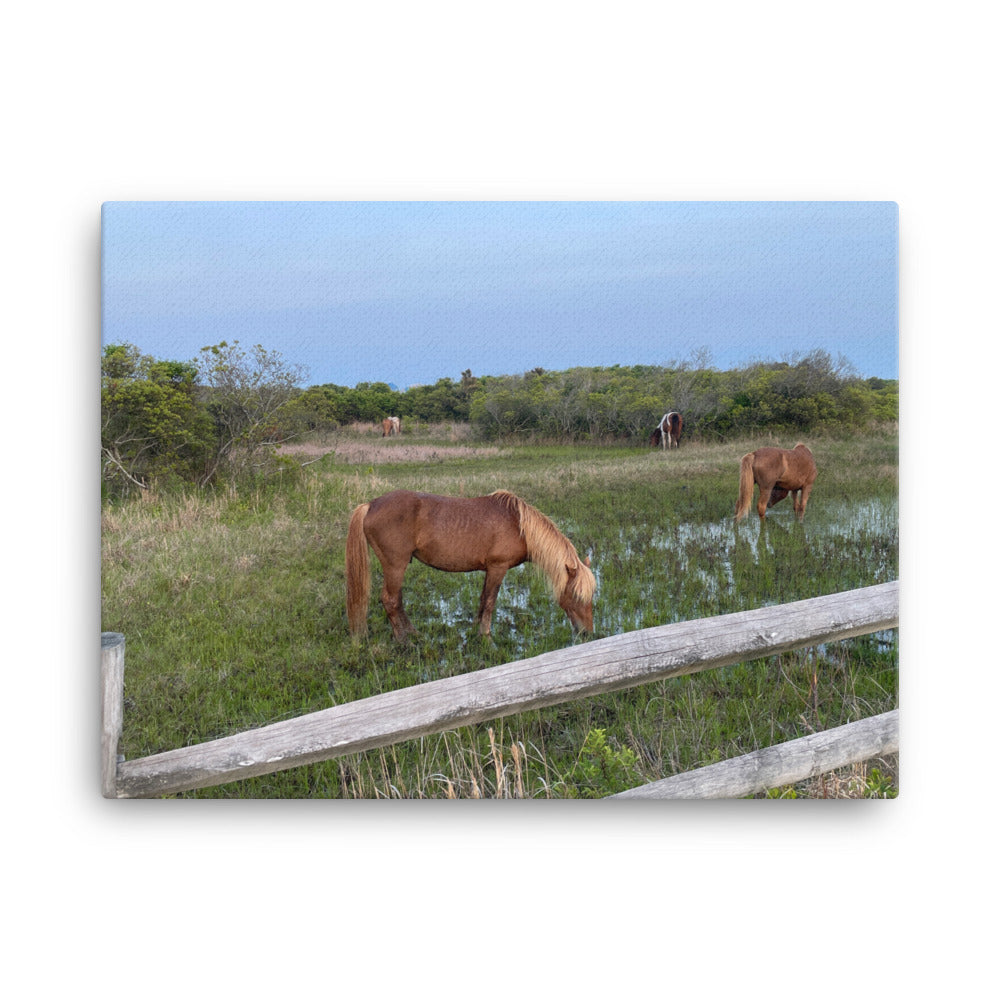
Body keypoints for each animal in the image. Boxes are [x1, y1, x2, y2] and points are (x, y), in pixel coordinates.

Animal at [346, 490, 592, 640]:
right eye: (576, 596)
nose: (587, 632)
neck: (519, 525)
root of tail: (370, 505)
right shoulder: (498, 568)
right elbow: (491, 602)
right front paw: (486, 635)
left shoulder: (489, 570)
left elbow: (483, 599)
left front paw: (476, 629)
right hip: (395, 565)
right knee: (390, 600)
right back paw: (404, 640)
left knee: (396, 600)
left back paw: (412, 633)